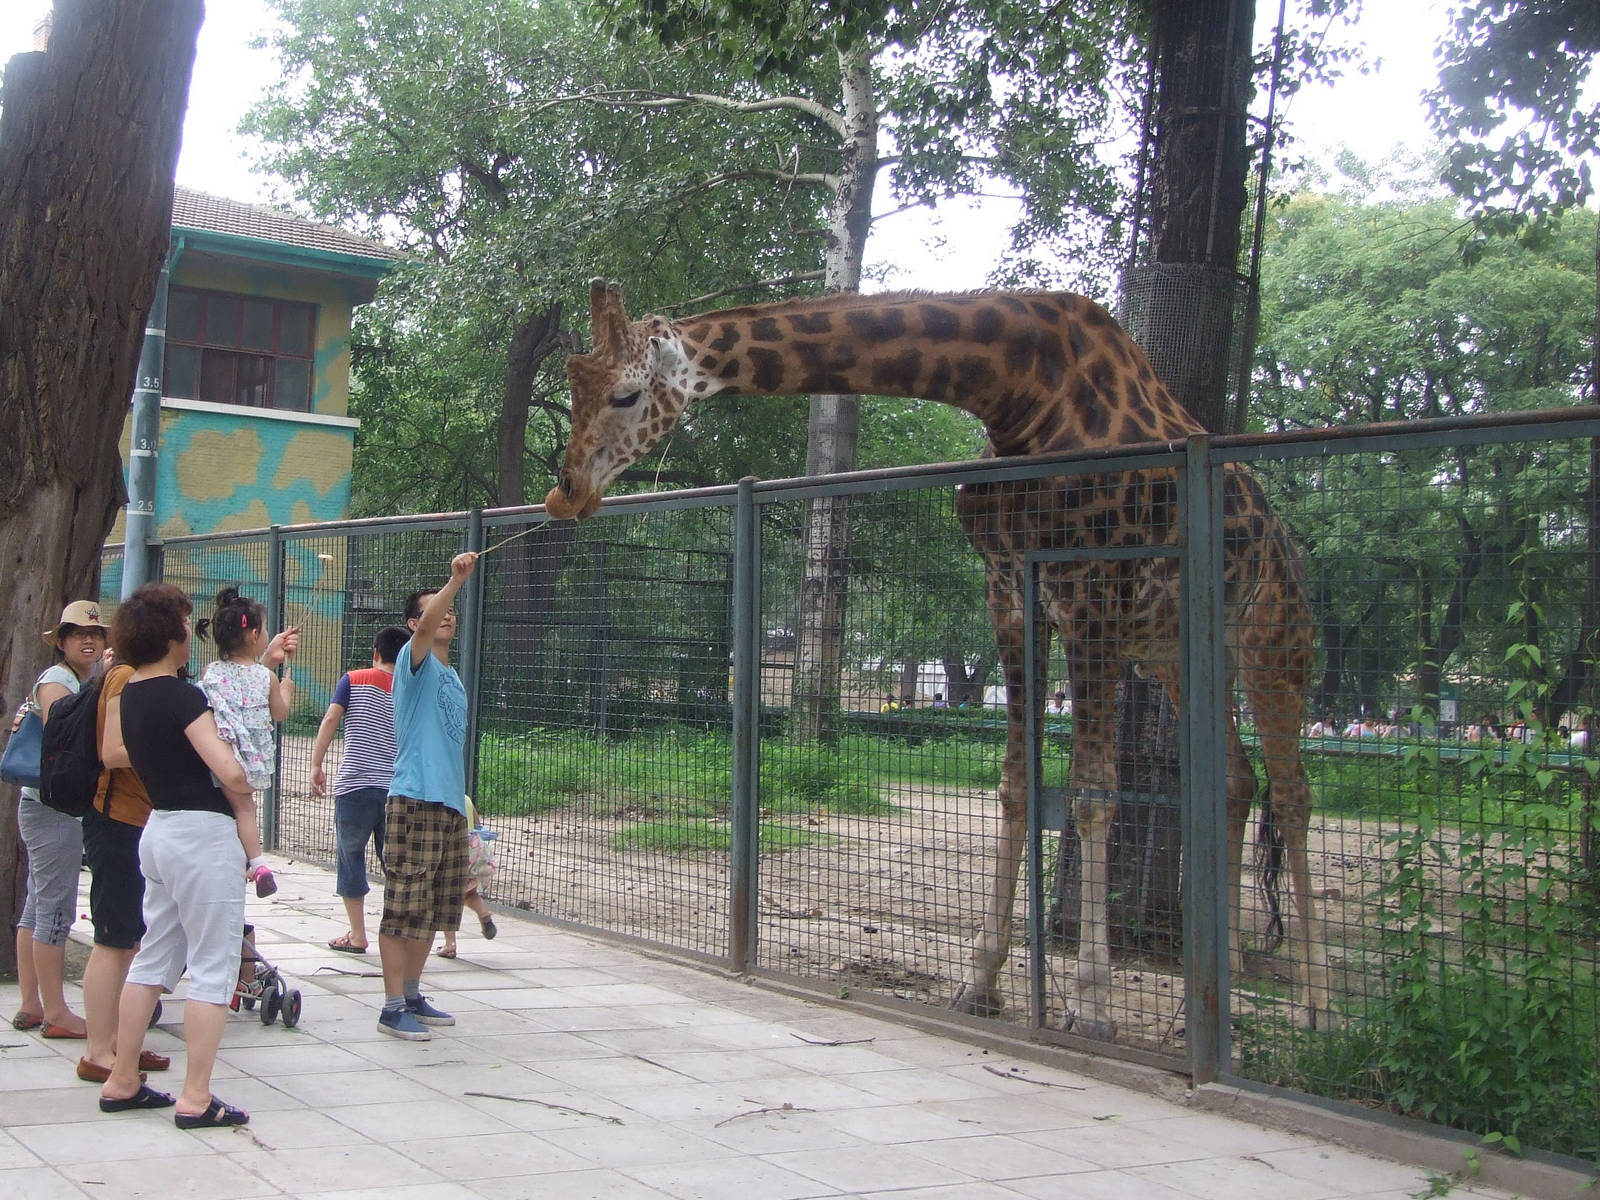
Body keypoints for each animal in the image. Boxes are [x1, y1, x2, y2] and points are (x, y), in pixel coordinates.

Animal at [547, 279, 1332, 1037]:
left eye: (625, 394)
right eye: (575, 384)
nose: (566, 493)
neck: (1018, 392)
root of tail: (1287, 548)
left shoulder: (1091, 593)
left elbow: (1091, 793)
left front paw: (1091, 1008)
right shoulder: (1010, 594)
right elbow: (1016, 785)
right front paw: (979, 984)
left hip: (1273, 640)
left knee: (1292, 790)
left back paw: (1315, 1008)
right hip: (1180, 654)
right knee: (1237, 779)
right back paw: (1215, 998)